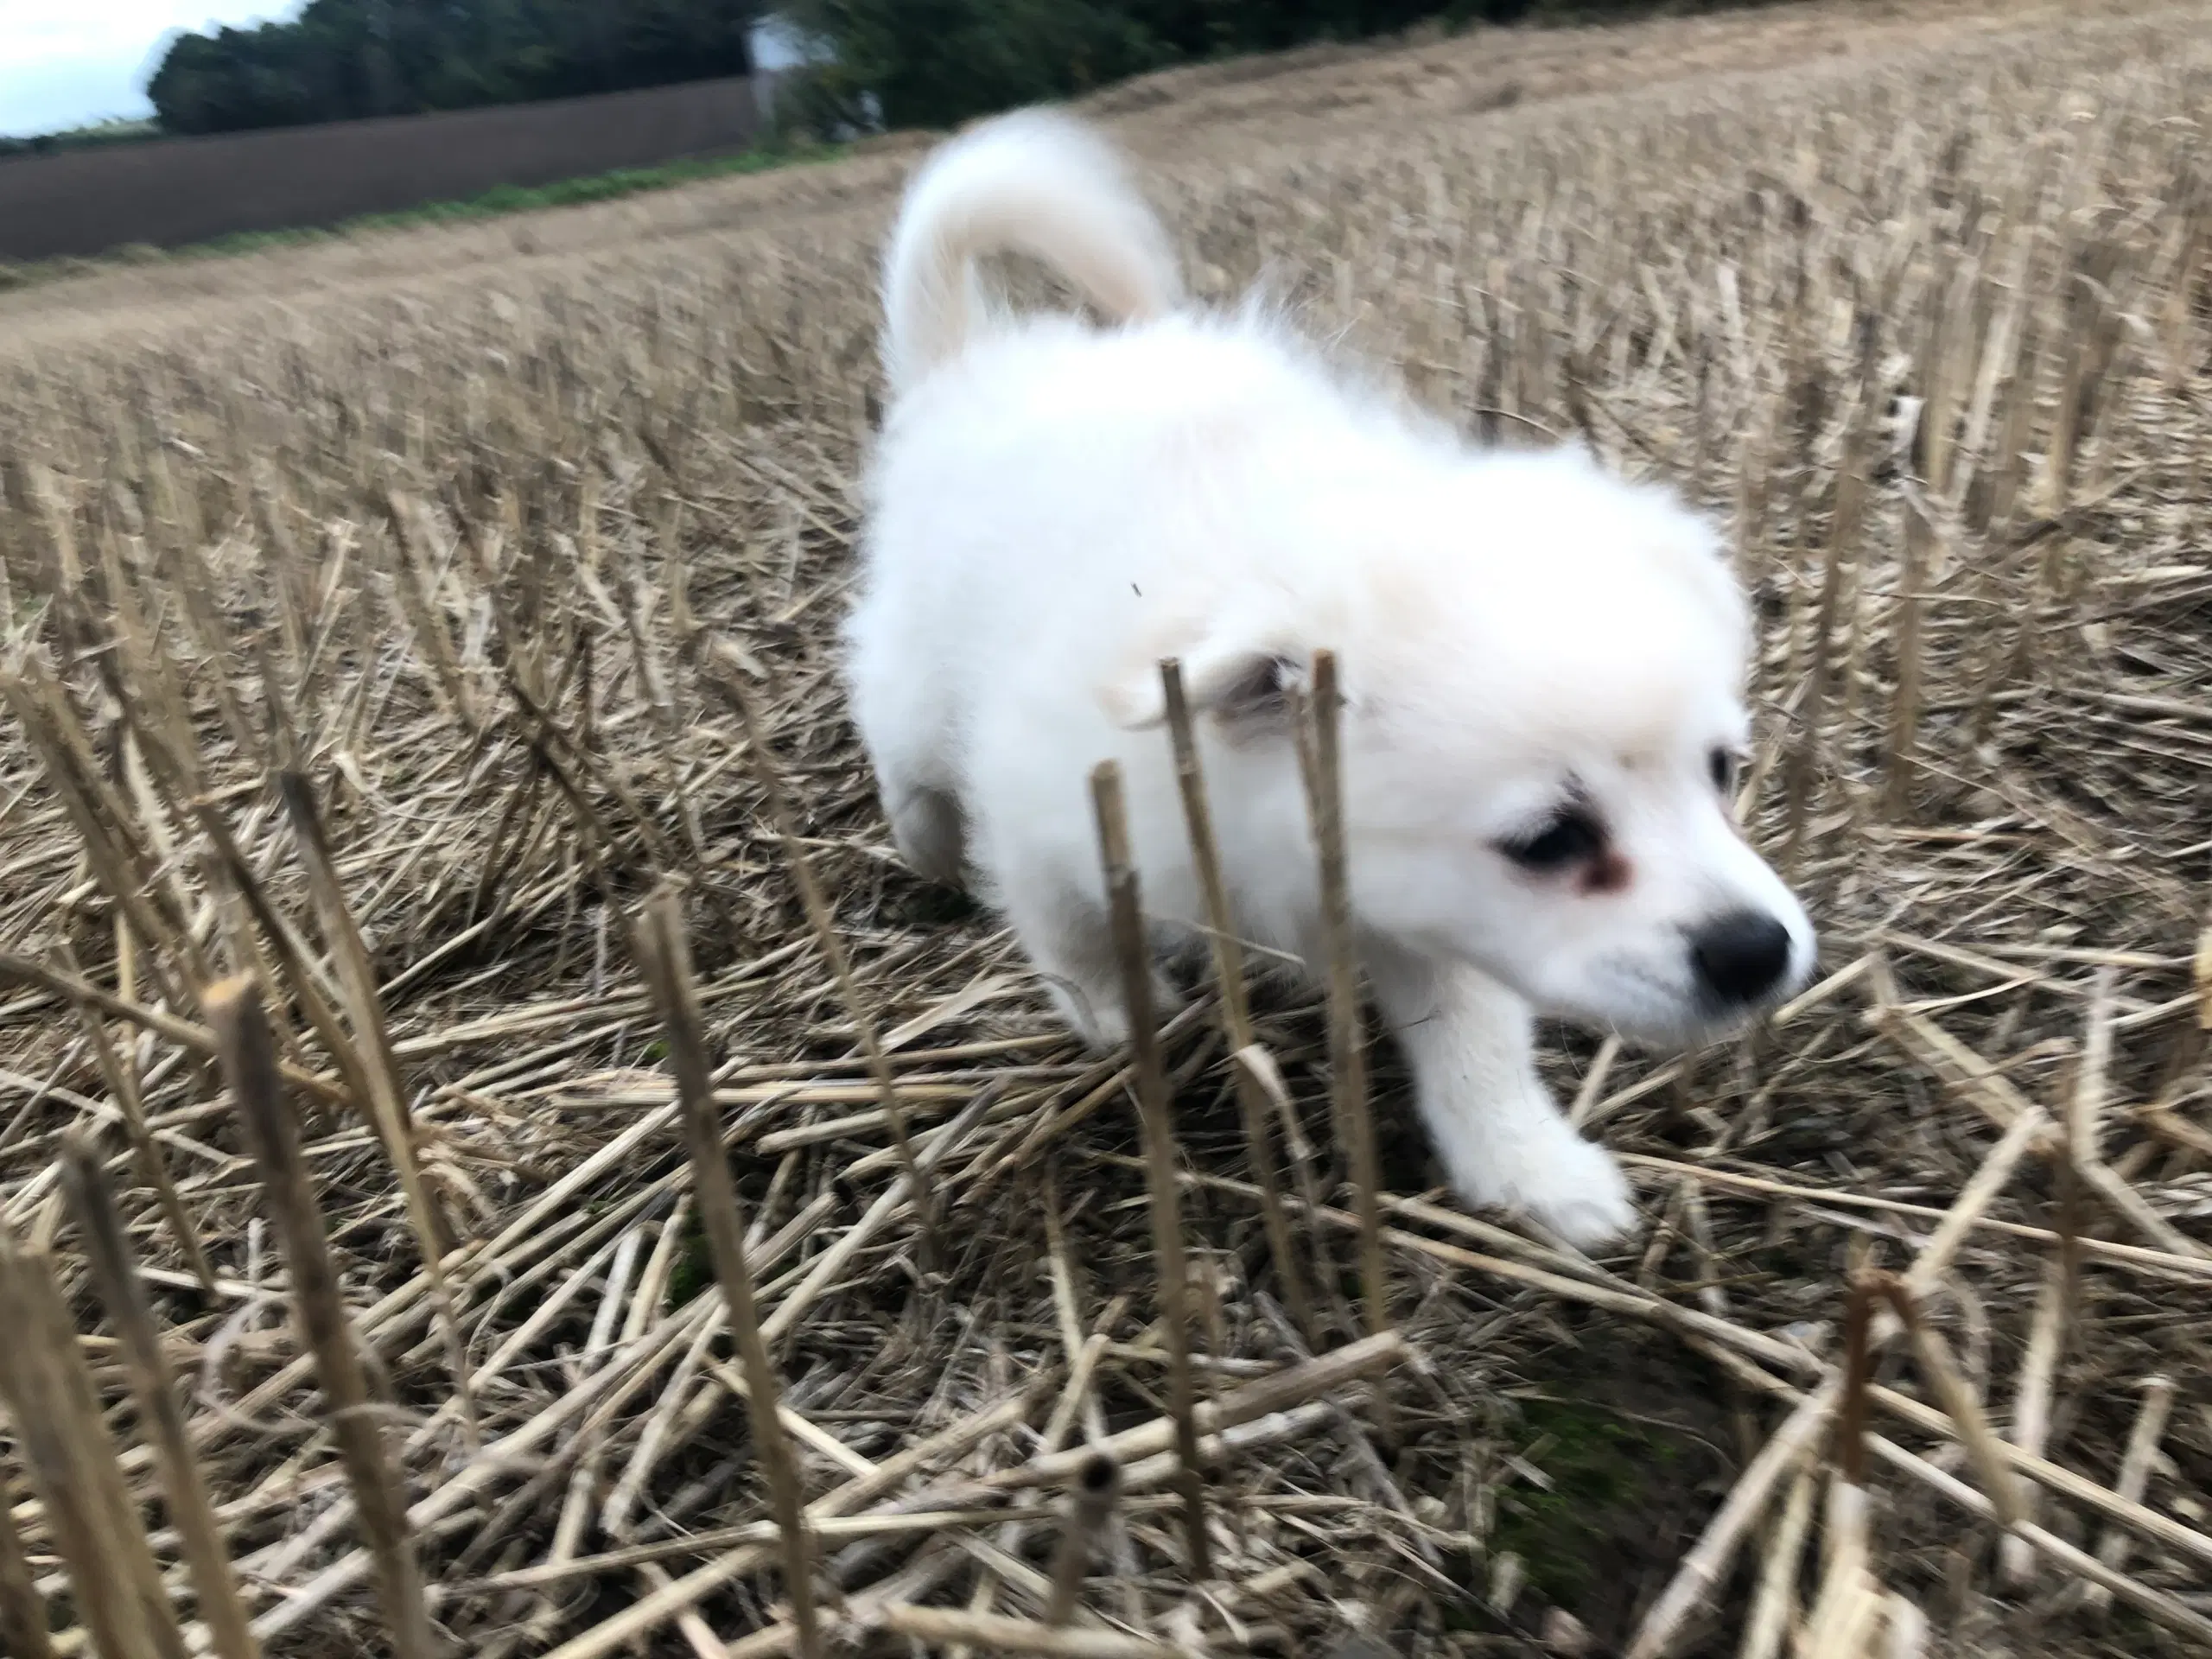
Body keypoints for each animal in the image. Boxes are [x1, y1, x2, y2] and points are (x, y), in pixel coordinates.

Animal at [844, 111, 1814, 1247]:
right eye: (1548, 840)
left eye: (1722, 772)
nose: (1755, 953)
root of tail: (972, 366)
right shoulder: (1047, 820)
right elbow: (1070, 936)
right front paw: (1115, 1016)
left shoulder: (1428, 916)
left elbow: (1474, 1040)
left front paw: (1526, 1166)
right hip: (915, 676)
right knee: (899, 743)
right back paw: (924, 845)